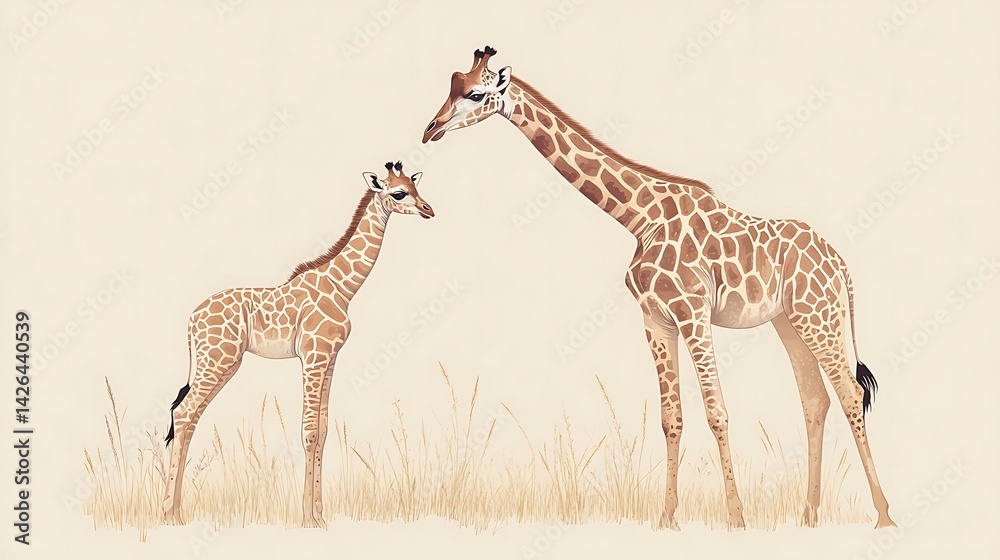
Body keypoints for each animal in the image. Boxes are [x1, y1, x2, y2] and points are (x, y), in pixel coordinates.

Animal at [161, 162, 435, 528]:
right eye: (399, 193)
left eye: (416, 186)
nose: (429, 210)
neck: (343, 287)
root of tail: (191, 321)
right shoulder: (313, 355)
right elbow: (309, 432)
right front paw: (308, 520)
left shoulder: (330, 358)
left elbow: (323, 430)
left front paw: (320, 516)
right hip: (216, 360)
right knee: (184, 412)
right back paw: (168, 515)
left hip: (223, 363)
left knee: (189, 416)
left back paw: (176, 513)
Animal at [421, 46, 895, 530]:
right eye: (452, 84)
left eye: (476, 93)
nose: (430, 129)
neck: (640, 217)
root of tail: (840, 264)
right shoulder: (655, 318)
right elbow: (672, 418)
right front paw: (668, 517)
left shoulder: (693, 311)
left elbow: (716, 412)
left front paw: (736, 518)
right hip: (789, 321)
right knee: (815, 399)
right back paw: (808, 515)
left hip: (819, 316)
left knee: (851, 393)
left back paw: (883, 515)